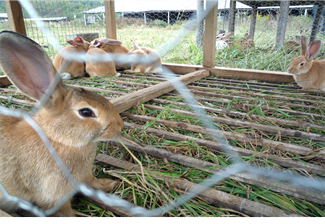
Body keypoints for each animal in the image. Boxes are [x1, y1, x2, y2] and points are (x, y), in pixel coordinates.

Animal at [0, 31, 124, 217]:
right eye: (86, 112)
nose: (120, 126)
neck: (58, 138)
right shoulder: (53, 197)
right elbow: (64, 212)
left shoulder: (85, 175)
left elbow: (93, 182)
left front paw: (109, 184)